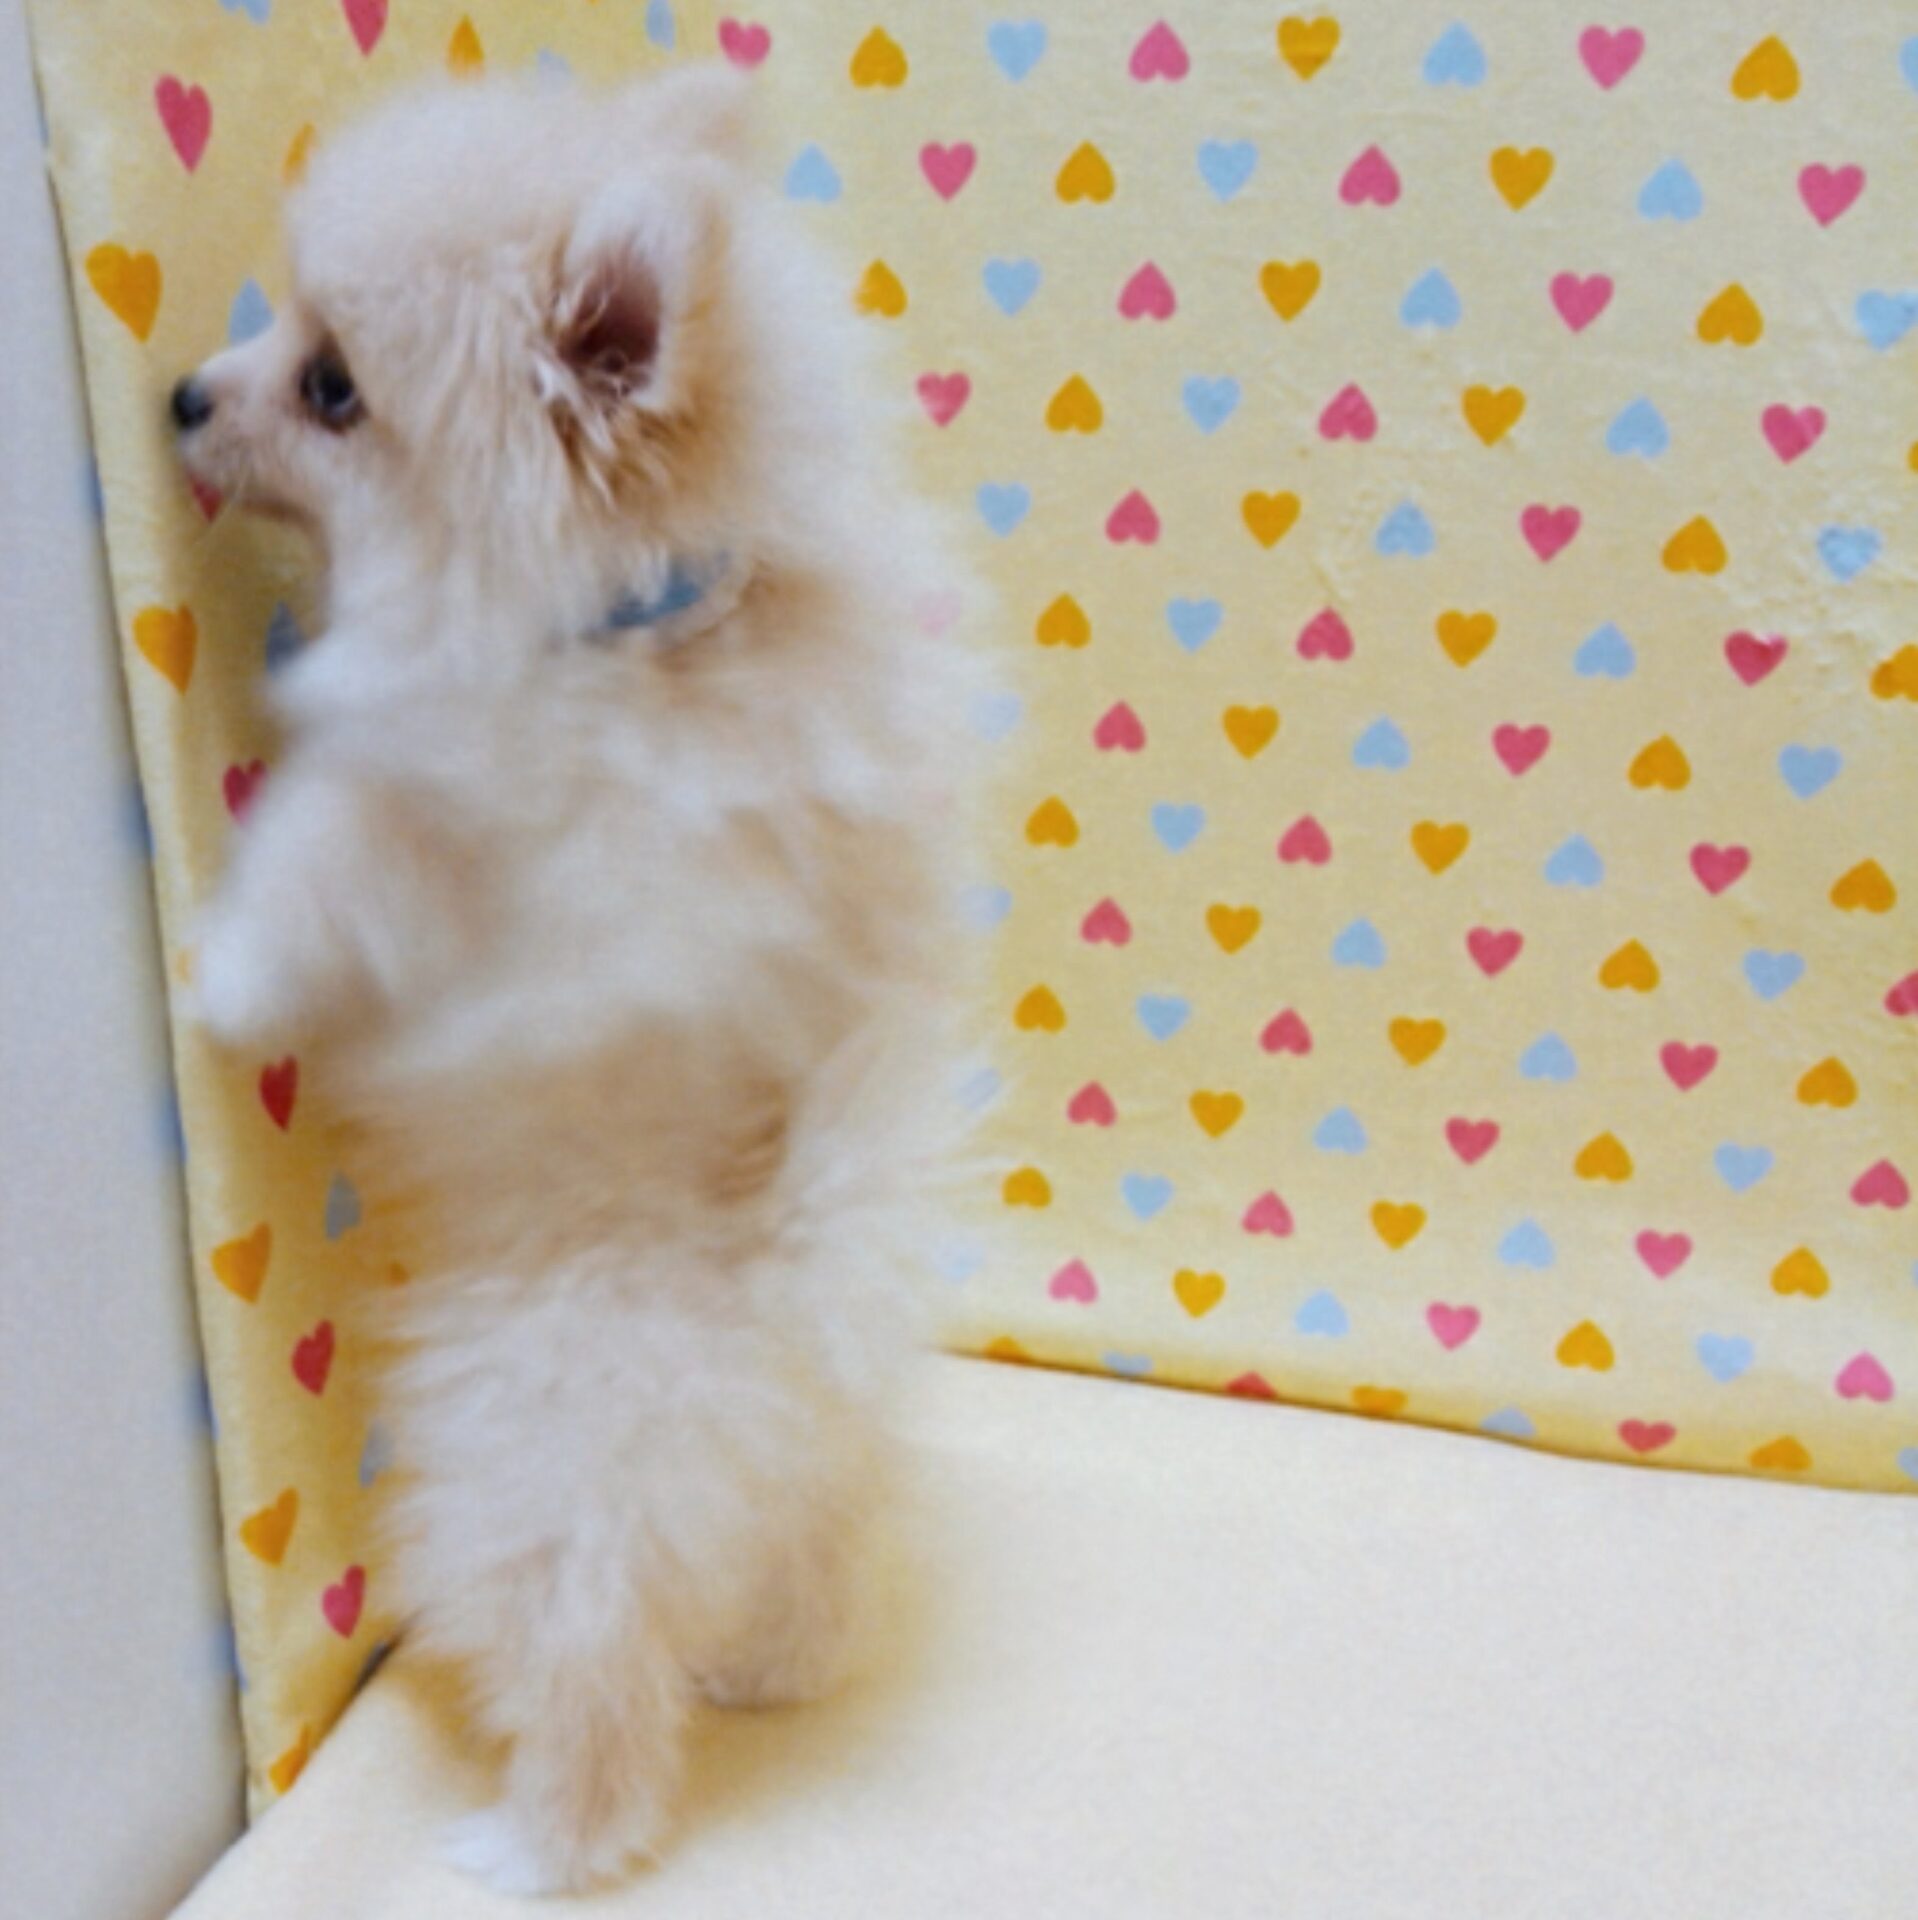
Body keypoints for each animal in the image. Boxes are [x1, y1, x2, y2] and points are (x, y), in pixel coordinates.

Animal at [174, 66, 974, 1894]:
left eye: (333, 386)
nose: (181, 393)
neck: (644, 623)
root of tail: (786, 1301)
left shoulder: (459, 836)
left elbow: (327, 841)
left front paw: (226, 975)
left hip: (532, 1474)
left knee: (593, 1672)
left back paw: (532, 1846)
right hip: (797, 1472)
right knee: (806, 1562)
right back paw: (770, 1671)